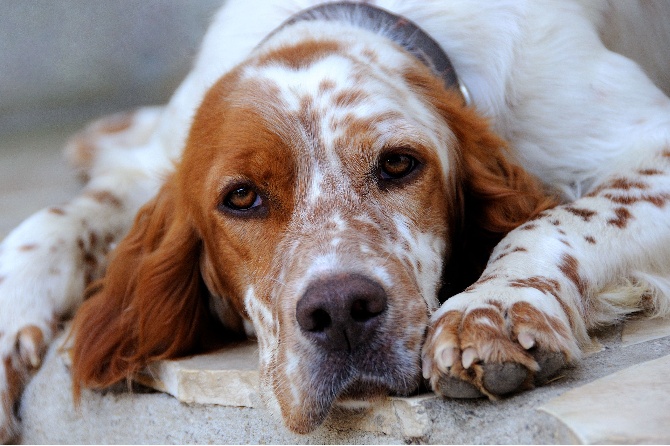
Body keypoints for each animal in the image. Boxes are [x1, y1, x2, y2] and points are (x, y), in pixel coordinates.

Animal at [1, 0, 670, 440]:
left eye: (398, 164)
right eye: (241, 197)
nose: (342, 310)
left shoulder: (649, 144)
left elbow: (559, 219)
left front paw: (494, 306)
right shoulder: (154, 170)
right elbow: (51, 222)